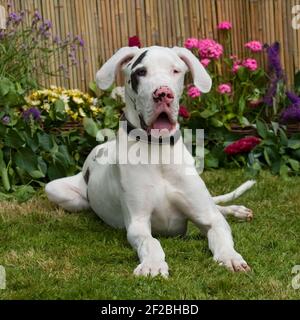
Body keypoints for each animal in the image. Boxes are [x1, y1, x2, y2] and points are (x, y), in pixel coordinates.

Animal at [45, 45, 254, 278]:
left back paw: (236, 210)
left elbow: (221, 232)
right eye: (140, 72)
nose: (163, 94)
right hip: (57, 191)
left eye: (175, 70)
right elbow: (151, 242)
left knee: (217, 206)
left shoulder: (210, 218)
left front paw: (230, 257)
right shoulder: (138, 224)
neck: (158, 151)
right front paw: (153, 264)